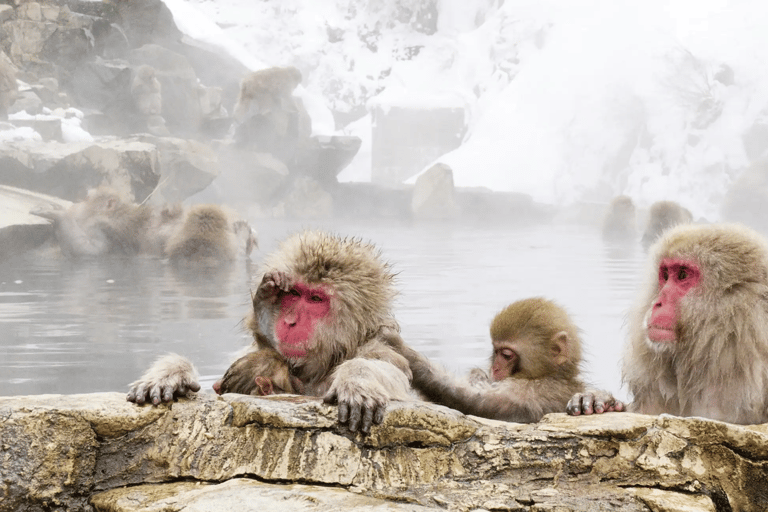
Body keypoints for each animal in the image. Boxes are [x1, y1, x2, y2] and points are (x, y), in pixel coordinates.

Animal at [127, 230, 414, 434]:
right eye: (295, 293)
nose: (290, 321)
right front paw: (170, 374)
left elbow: (387, 369)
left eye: (316, 299)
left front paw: (357, 379)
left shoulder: (378, 349)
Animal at [386, 298, 586, 423]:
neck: (552, 375)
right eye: (495, 351)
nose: (494, 369)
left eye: (506, 355)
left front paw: (403, 351)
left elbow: (476, 403)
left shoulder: (531, 392)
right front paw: (478, 375)